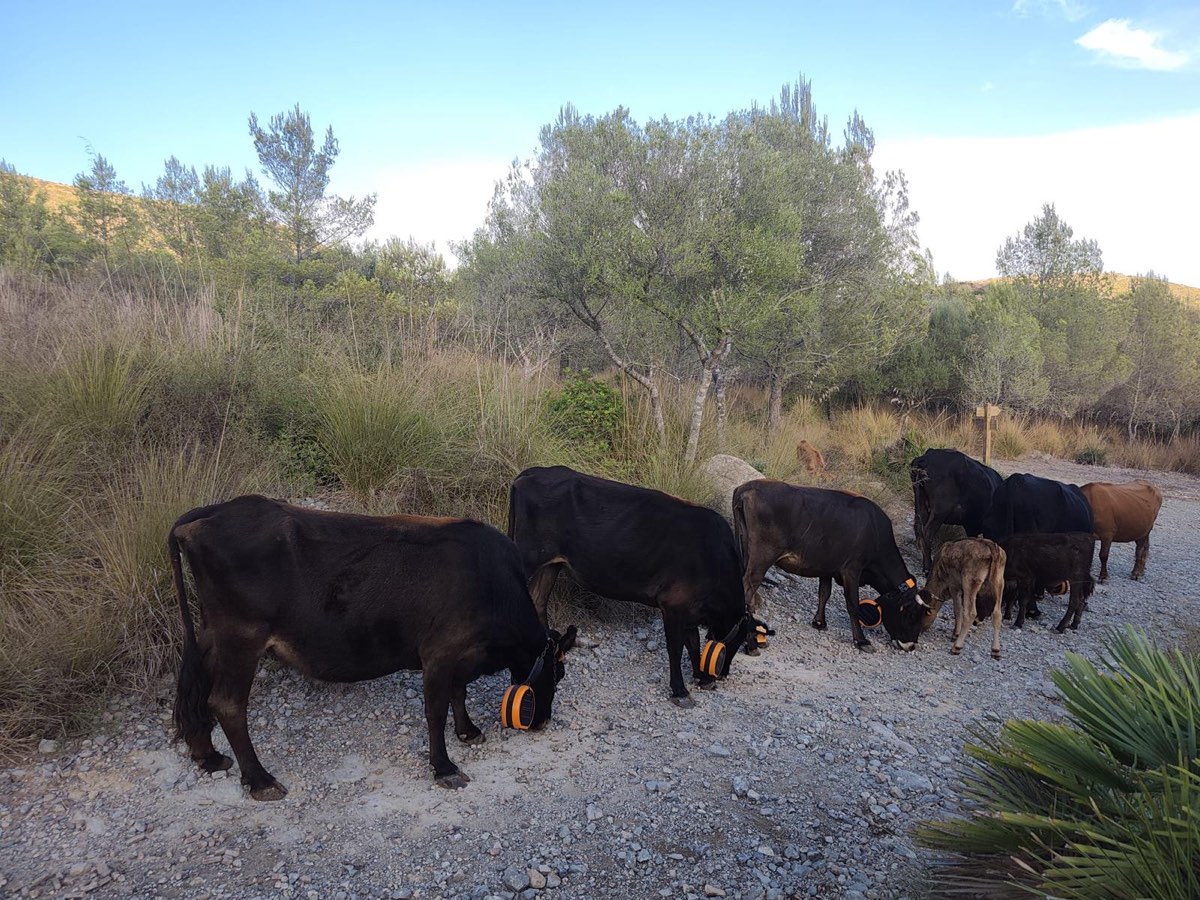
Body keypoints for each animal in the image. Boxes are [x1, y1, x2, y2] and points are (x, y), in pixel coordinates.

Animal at [169, 495, 576, 799]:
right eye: (558, 673)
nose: (542, 721)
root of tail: (209, 513)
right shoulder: (439, 654)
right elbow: (436, 710)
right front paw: (444, 767)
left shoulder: (460, 655)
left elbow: (458, 693)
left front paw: (468, 731)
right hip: (241, 637)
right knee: (227, 703)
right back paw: (260, 780)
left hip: (213, 634)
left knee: (194, 689)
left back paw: (208, 756)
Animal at [507, 467, 749, 708]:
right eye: (739, 641)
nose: (723, 674)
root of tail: (535, 472)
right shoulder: (673, 606)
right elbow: (676, 648)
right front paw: (680, 690)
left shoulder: (688, 607)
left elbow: (693, 643)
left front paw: (701, 675)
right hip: (527, 557)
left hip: (551, 564)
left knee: (538, 600)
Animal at [732, 481, 927, 653]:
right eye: (911, 614)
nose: (911, 646)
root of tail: (747, 487)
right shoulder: (852, 569)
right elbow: (853, 604)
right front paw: (861, 641)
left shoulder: (826, 567)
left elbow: (824, 593)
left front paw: (819, 622)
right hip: (763, 556)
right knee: (749, 585)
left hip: (745, 549)